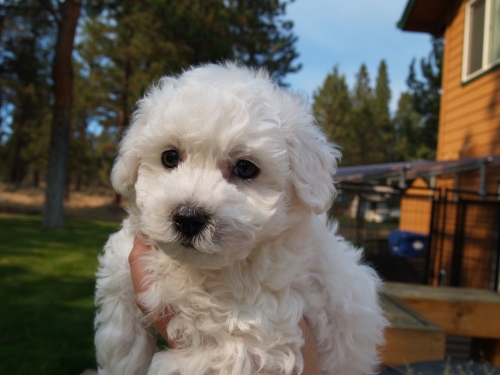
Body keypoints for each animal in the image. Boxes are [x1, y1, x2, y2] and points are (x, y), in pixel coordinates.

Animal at [94, 63, 386, 374]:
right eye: (170, 157)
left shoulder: (263, 330)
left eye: (245, 168)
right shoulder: (126, 261)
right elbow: (121, 325)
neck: (197, 270)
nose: (188, 217)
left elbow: (218, 354)